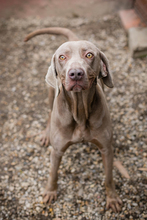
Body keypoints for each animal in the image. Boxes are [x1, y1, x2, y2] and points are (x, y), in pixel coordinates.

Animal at [24, 27, 122, 211]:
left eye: (89, 55)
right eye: (62, 57)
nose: (75, 73)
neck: (80, 110)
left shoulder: (106, 149)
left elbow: (109, 177)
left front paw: (112, 199)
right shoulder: (57, 150)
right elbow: (53, 173)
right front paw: (50, 192)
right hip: (51, 92)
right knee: (49, 112)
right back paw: (46, 134)